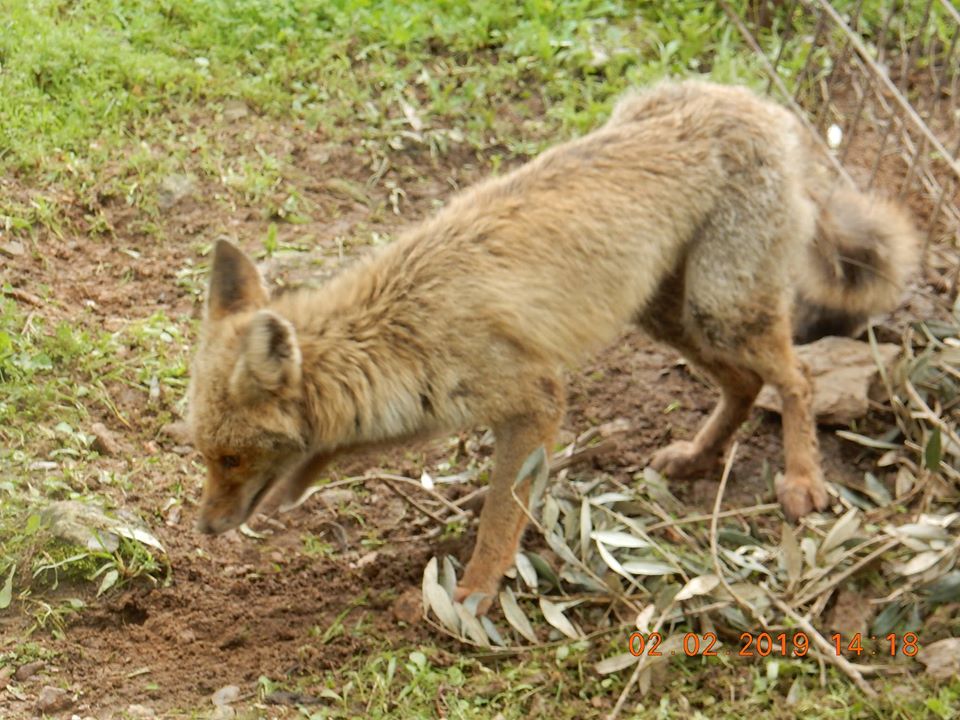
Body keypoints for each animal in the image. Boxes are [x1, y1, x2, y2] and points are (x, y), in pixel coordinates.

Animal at [186, 80, 916, 612]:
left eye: (230, 458)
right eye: (206, 457)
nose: (205, 527)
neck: (399, 328)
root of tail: (761, 106)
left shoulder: (536, 399)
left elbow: (499, 519)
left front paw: (474, 595)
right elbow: (336, 446)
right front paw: (299, 483)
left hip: (720, 309)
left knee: (798, 381)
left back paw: (802, 478)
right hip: (661, 311)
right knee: (745, 384)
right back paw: (697, 458)